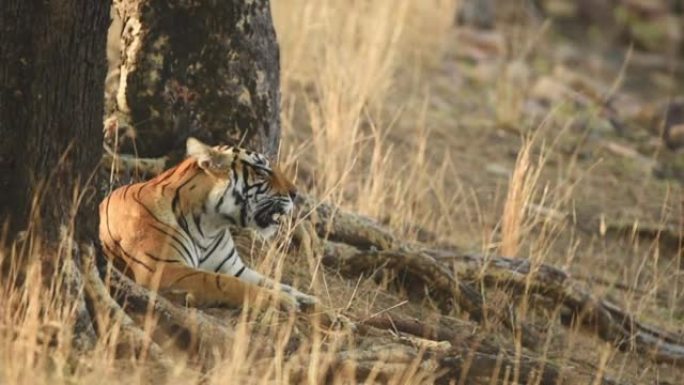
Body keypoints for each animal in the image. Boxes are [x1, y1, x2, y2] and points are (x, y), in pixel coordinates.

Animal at [99, 136, 318, 310]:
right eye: (261, 172)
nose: (296, 193)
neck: (210, 225)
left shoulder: (234, 268)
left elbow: (273, 282)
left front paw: (308, 299)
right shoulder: (164, 268)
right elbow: (223, 282)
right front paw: (283, 300)